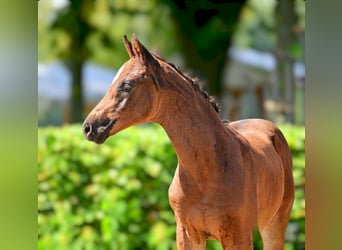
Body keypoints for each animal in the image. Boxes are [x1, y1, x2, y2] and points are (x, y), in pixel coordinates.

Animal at [83, 35, 294, 250]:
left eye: (126, 85)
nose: (88, 127)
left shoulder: (239, 236)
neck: (209, 170)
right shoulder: (187, 234)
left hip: (274, 224)